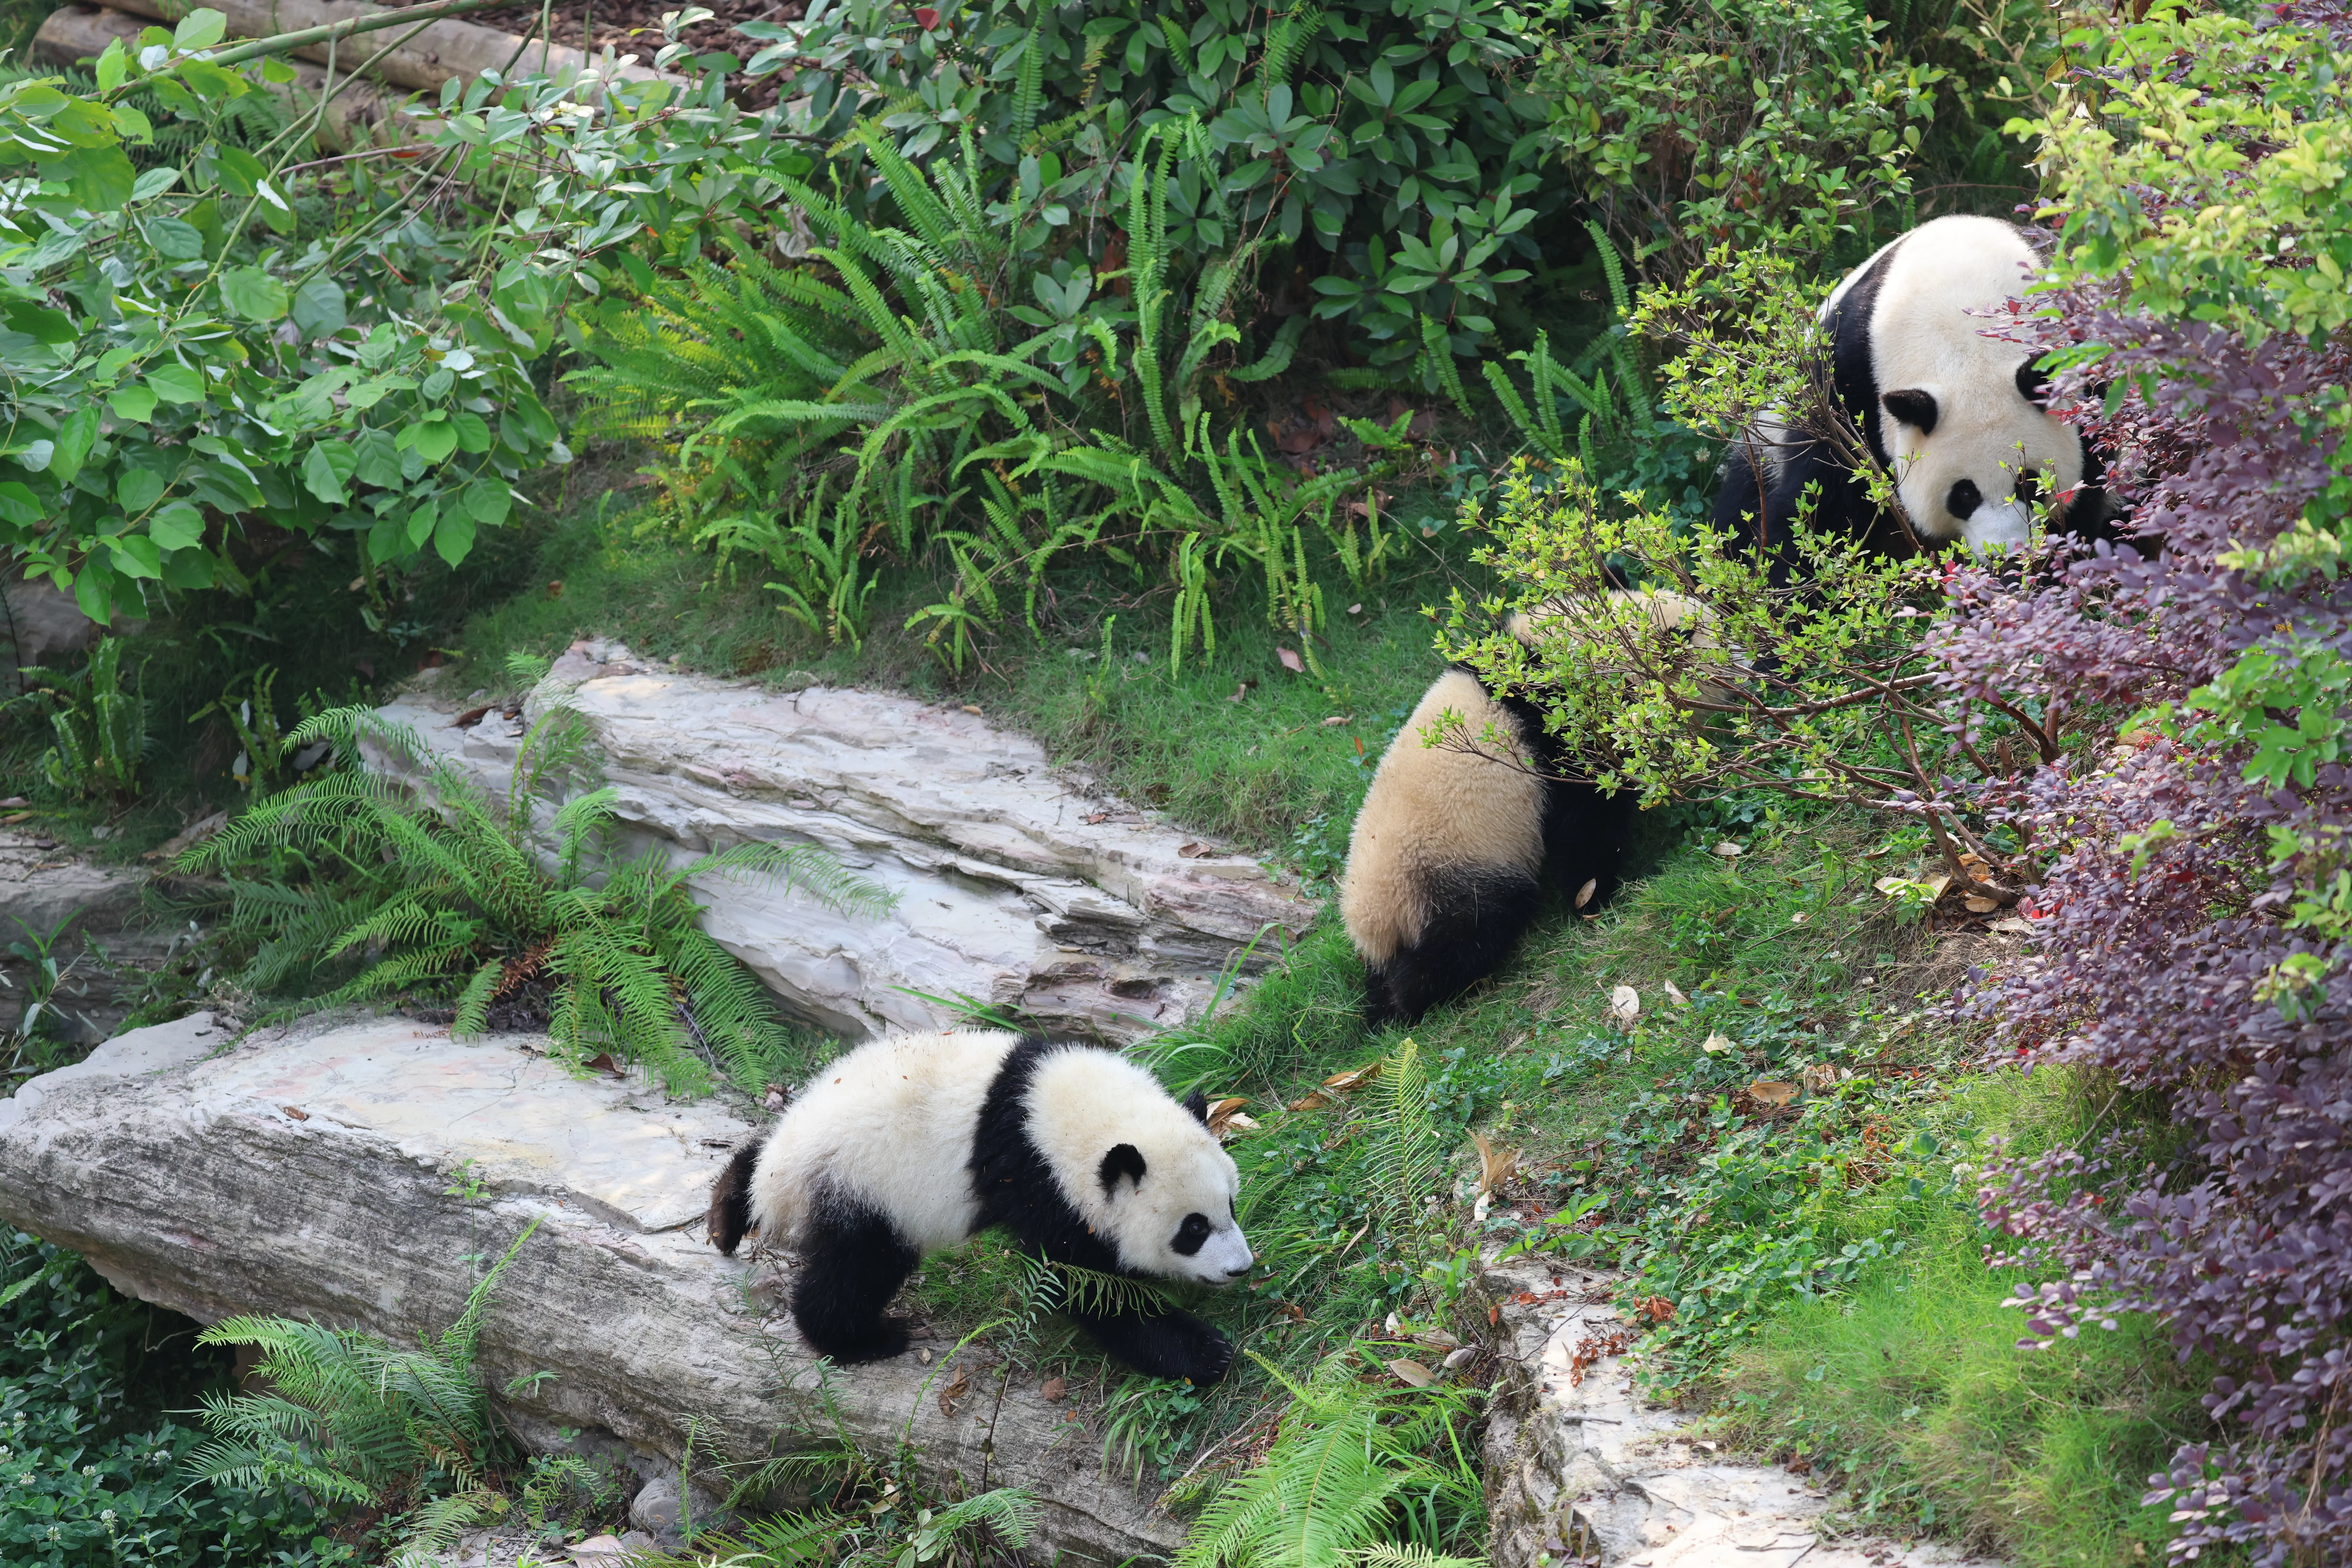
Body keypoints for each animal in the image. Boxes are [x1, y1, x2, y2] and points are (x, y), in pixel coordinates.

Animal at [707, 1028, 1252, 1384]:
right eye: (1194, 1229)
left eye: (1231, 1205)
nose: (1241, 1268)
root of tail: (781, 1183)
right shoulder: (1040, 1179)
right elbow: (1088, 1285)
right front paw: (1204, 1352)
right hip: (864, 1187)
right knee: (856, 1270)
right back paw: (865, 1340)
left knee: (756, 1162)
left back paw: (723, 1217)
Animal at [1712, 213, 2110, 571]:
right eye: (1964, 494)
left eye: (2029, 483)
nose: (2007, 557)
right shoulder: (1846, 384)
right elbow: (1821, 502)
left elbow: (2091, 487)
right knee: (1744, 499)